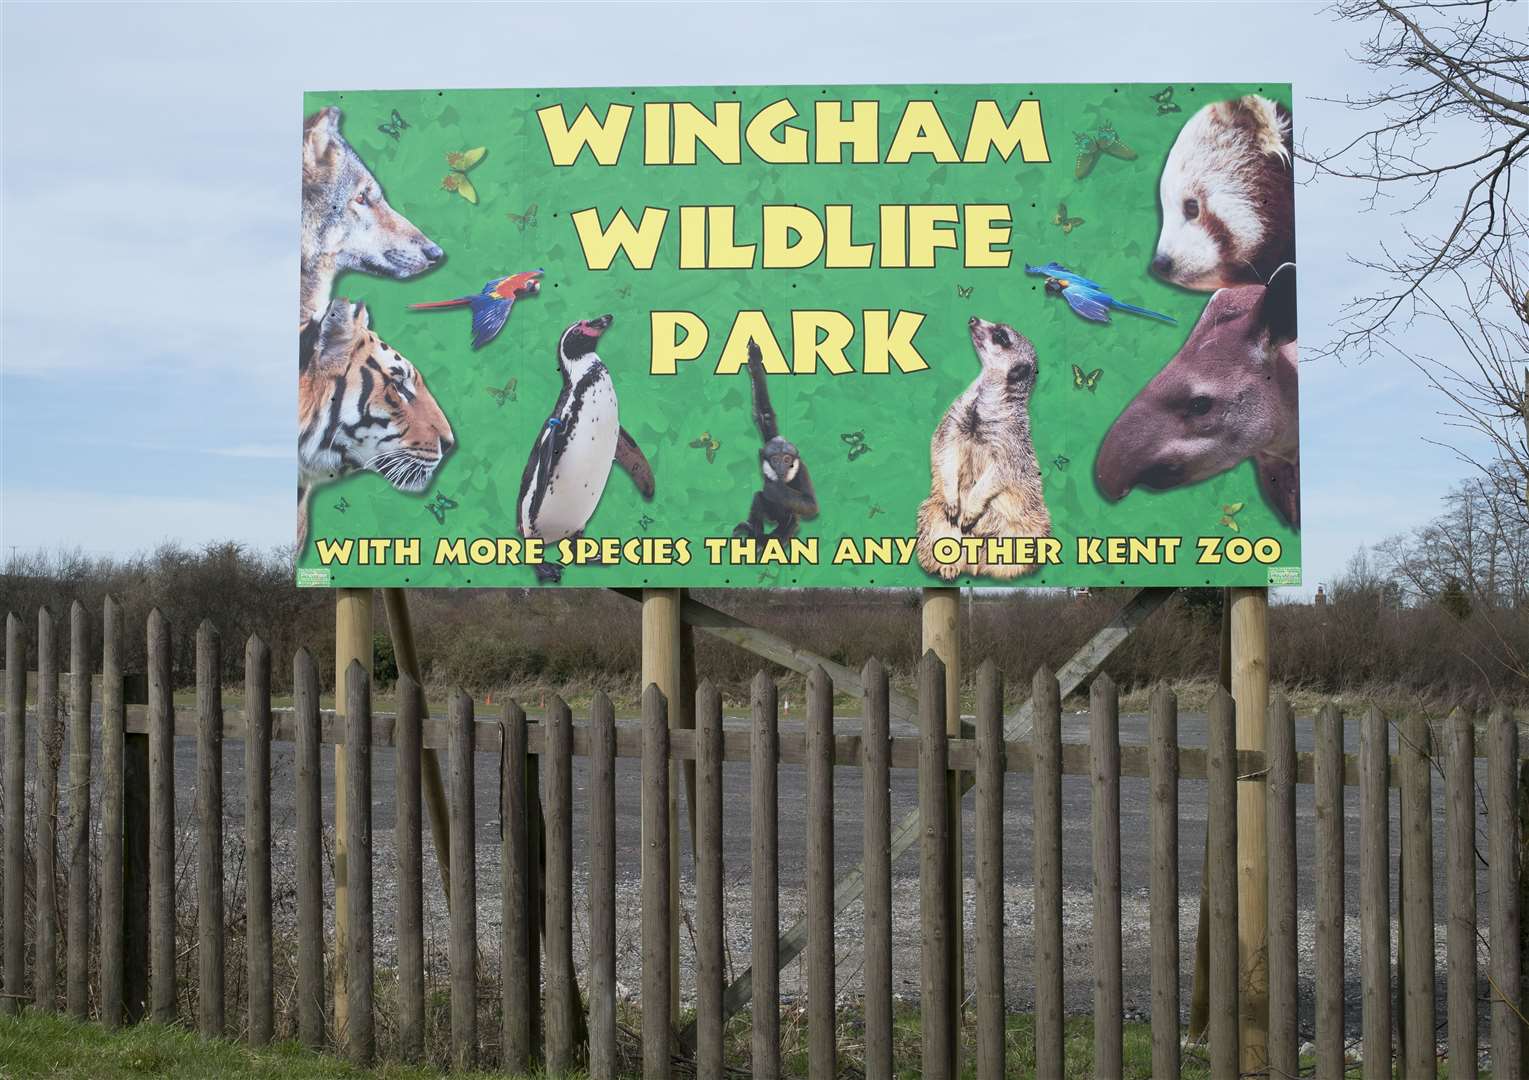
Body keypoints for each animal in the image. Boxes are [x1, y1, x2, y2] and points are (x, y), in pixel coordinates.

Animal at [733, 336, 819, 538]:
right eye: (775, 459)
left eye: (787, 459)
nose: (781, 467)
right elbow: (765, 414)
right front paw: (755, 359)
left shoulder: (802, 470)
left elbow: (811, 505)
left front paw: (776, 489)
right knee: (758, 498)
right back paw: (754, 534)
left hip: (788, 521)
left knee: (792, 520)